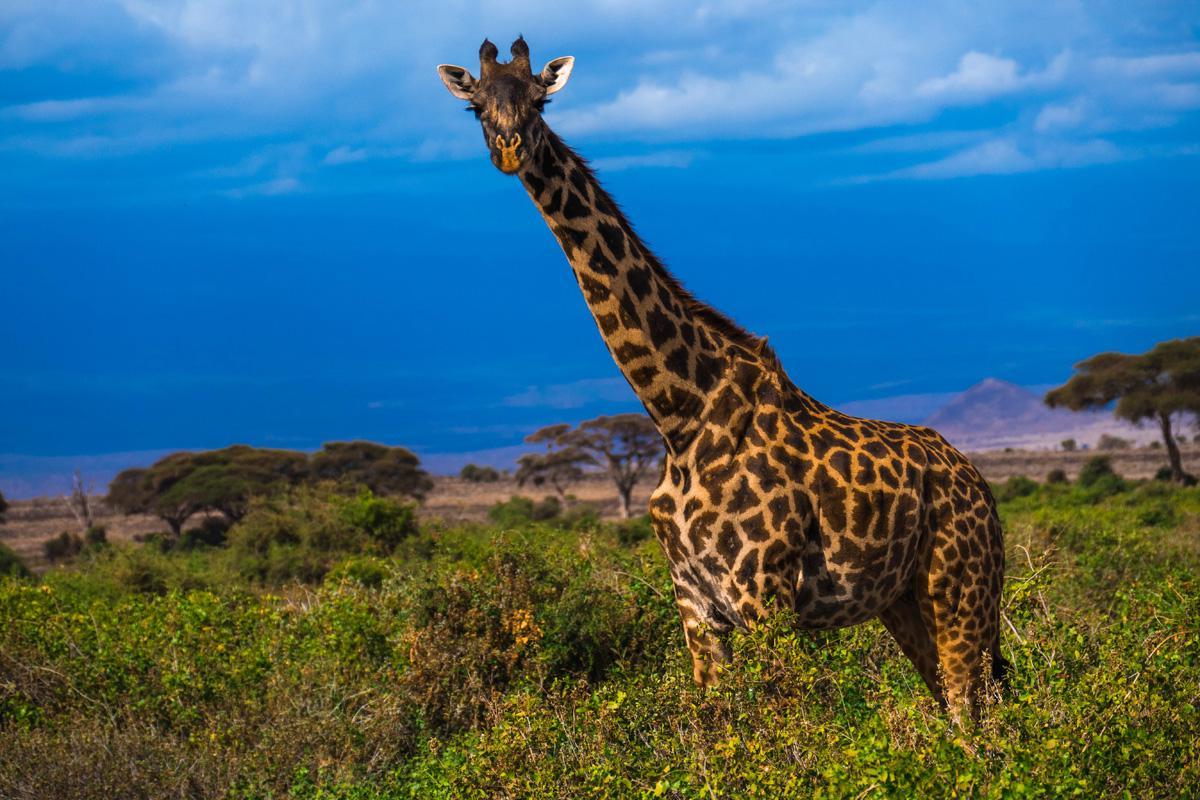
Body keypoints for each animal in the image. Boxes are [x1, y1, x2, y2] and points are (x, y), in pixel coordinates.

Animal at [437, 38, 1009, 718]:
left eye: (540, 99)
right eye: (475, 107)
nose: (510, 148)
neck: (677, 411)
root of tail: (979, 484)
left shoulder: (764, 594)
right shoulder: (695, 603)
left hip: (961, 586)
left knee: (975, 709)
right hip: (903, 601)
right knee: (960, 703)